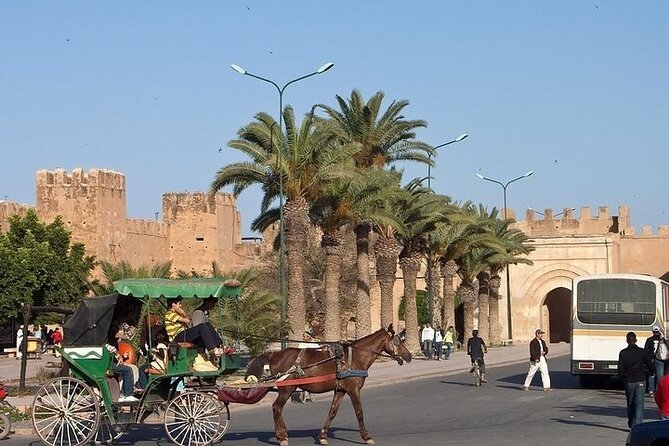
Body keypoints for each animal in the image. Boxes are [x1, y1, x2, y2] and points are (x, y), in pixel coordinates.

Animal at [247, 324, 412, 446]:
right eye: (398, 341)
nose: (409, 356)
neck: (355, 358)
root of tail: (274, 354)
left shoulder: (340, 390)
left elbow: (332, 412)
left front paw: (323, 436)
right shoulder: (353, 390)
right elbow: (359, 412)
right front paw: (366, 436)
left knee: (277, 409)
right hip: (287, 389)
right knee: (276, 408)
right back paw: (282, 437)